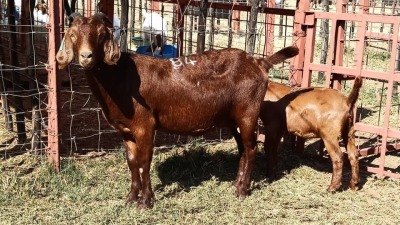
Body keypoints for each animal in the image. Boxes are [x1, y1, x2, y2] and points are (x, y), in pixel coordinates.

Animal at [57, 13, 300, 208]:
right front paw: (130, 197)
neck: (120, 77)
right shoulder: (125, 130)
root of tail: (259, 62)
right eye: (73, 34)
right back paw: (236, 183)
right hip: (233, 118)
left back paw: (242, 190)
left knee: (251, 148)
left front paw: (145, 202)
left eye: (101, 35)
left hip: (247, 113)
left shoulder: (145, 125)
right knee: (243, 149)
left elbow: (144, 162)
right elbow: (132, 162)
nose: (86, 56)